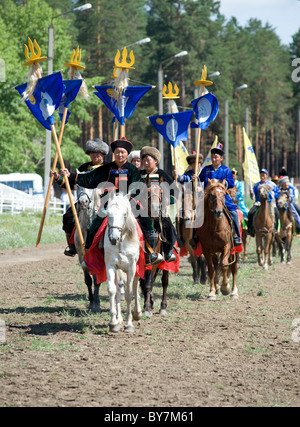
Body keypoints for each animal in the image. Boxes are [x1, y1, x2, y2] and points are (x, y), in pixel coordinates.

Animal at [104, 191, 142, 334]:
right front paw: (113, 322)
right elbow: (112, 290)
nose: (113, 238)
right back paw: (119, 318)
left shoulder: (132, 267)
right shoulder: (110, 265)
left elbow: (129, 293)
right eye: (108, 213)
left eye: (125, 214)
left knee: (135, 286)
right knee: (118, 289)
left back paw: (137, 313)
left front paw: (129, 324)